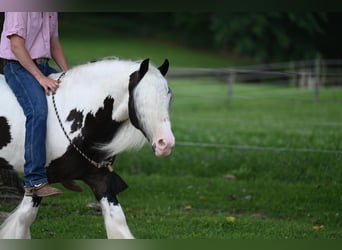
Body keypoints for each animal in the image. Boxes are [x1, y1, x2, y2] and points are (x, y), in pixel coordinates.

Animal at [0, 57, 175, 238]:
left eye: (169, 96)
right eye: (141, 98)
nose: (165, 143)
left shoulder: (100, 180)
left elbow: (118, 221)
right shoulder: (38, 184)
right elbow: (24, 218)